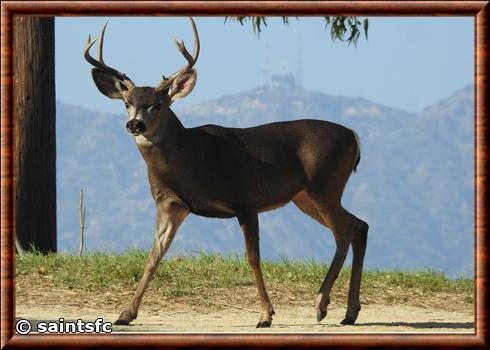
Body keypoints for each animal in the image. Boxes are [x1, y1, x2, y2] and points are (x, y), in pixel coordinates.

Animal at [83, 16, 368, 328]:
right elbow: (154, 256)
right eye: (127, 103)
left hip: (325, 185)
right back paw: (349, 313)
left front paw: (265, 315)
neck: (191, 159)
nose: (135, 124)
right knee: (359, 226)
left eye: (157, 105)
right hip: (305, 196)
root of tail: (354, 136)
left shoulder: (244, 198)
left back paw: (321, 305)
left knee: (343, 232)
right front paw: (125, 314)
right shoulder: (170, 204)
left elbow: (253, 256)